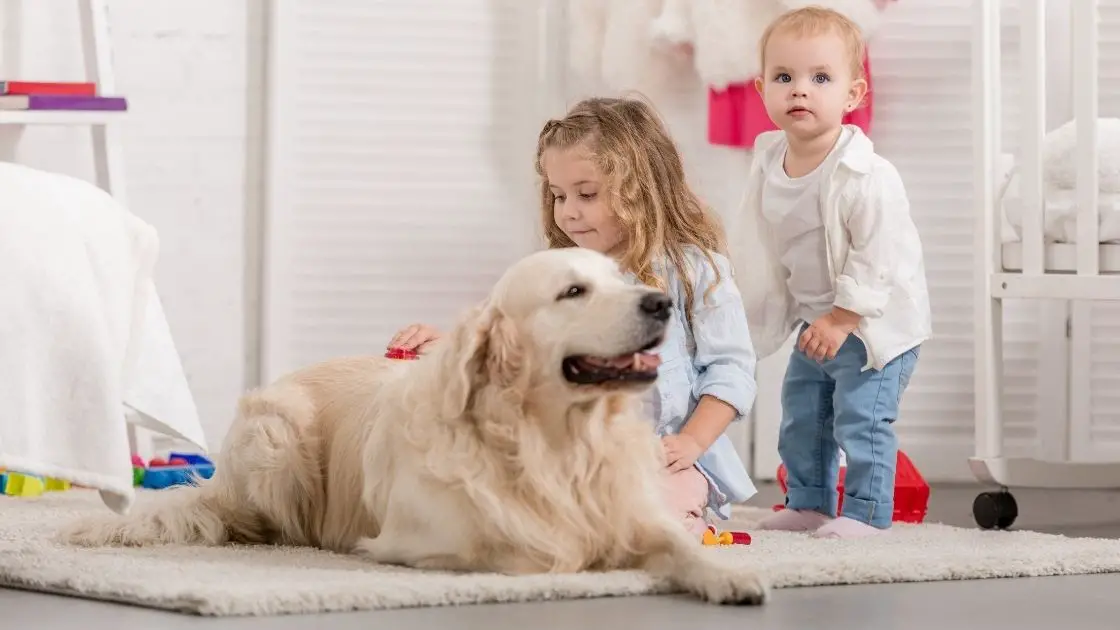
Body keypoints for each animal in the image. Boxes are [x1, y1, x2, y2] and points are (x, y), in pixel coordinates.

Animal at [56, 246, 766, 605]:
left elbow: (676, 544)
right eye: (572, 292)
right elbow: (529, 548)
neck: (552, 440)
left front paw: (730, 577)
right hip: (274, 436)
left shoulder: (629, 509)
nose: (661, 302)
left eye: (622, 278)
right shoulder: (422, 538)